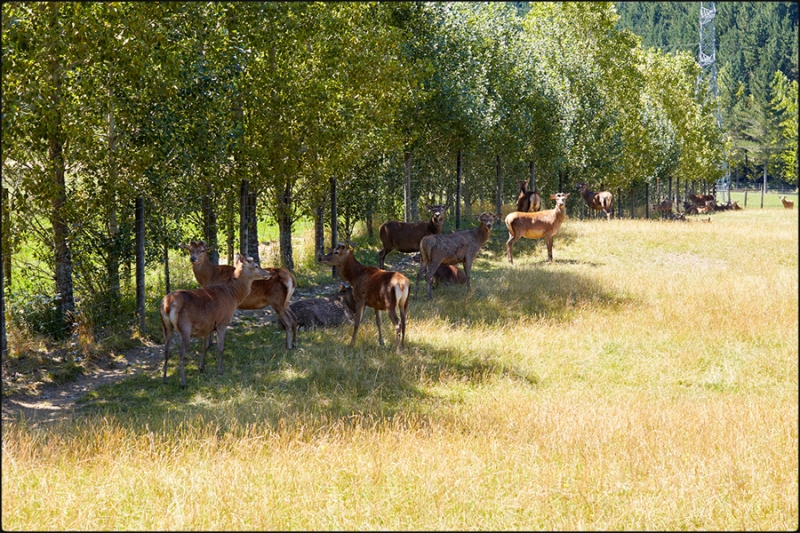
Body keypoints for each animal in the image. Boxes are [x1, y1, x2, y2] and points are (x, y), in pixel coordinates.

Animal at [159, 254, 272, 386]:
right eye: (256, 266)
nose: (269, 273)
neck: (233, 296)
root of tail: (167, 305)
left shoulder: (206, 325)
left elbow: (205, 346)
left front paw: (202, 368)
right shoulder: (222, 321)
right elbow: (220, 347)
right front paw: (220, 370)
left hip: (166, 326)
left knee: (166, 350)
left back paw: (165, 379)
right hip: (185, 326)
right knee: (181, 353)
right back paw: (183, 383)